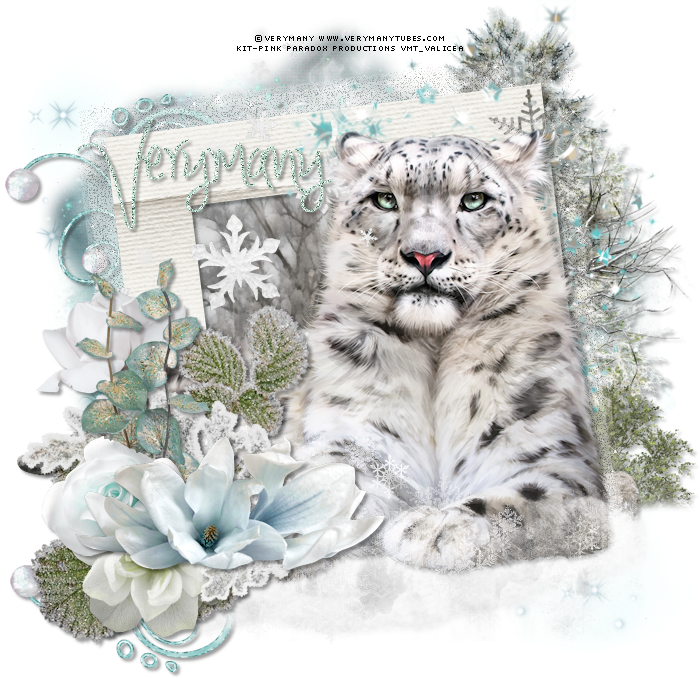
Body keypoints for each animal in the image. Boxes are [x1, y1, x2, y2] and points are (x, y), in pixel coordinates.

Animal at [281, 130, 609, 571]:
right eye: (385, 199)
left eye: (474, 200)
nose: (425, 255)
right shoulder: (351, 426)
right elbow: (333, 474)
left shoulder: (552, 449)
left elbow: (529, 496)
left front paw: (439, 527)